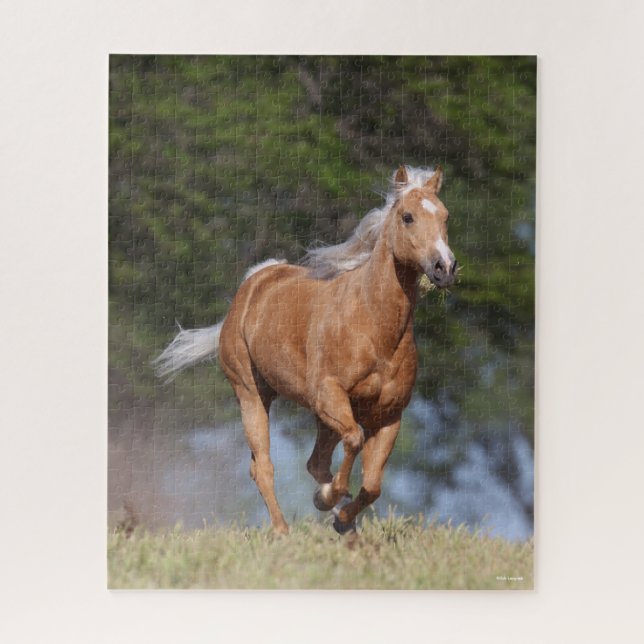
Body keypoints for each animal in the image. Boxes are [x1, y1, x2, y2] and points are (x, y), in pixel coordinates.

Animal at [154, 164, 457, 535]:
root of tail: (254, 282)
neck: (375, 328)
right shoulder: (329, 396)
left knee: (314, 463)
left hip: (317, 416)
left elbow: (372, 485)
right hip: (251, 394)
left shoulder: (388, 416)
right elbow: (353, 440)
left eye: (445, 216)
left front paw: (342, 519)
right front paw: (327, 499)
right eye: (408, 216)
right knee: (263, 466)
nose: (444, 267)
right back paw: (282, 529)